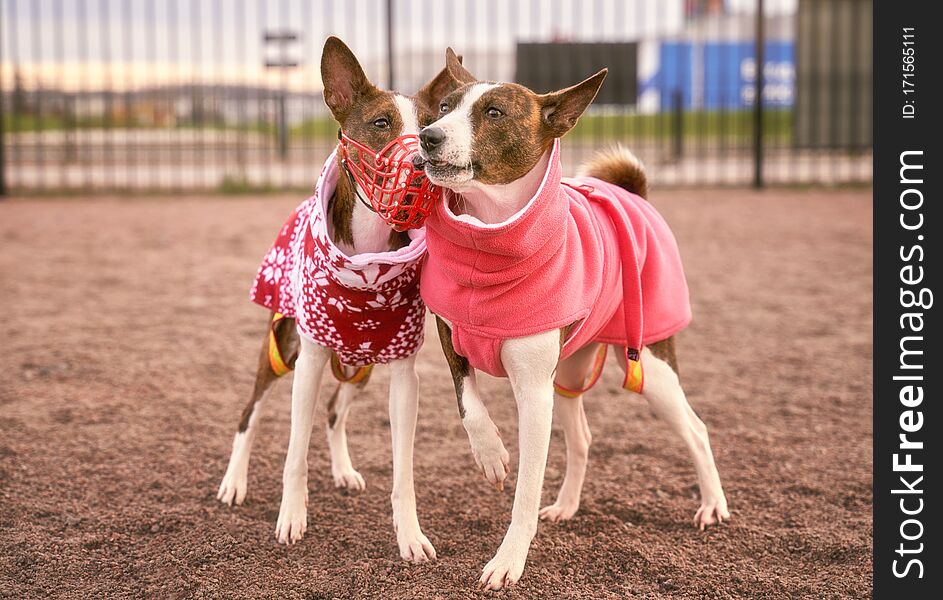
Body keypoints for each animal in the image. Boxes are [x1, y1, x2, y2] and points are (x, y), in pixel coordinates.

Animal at [218, 37, 460, 564]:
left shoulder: (404, 375)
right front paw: (292, 516)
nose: (420, 166)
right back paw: (233, 482)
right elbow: (294, 451)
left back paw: (343, 471)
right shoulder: (307, 361)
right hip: (281, 348)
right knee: (250, 414)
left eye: (427, 127)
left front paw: (409, 534)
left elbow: (403, 469)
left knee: (334, 411)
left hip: (361, 365)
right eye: (381, 123)